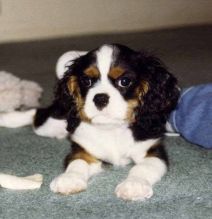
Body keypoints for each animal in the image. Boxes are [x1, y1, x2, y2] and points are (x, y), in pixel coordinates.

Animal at [0, 44, 180, 200]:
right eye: (87, 81)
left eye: (124, 81)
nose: (100, 98)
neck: (111, 128)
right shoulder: (84, 150)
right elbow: (78, 163)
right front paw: (69, 180)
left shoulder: (152, 151)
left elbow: (143, 167)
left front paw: (134, 185)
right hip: (51, 123)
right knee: (36, 113)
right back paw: (7, 118)